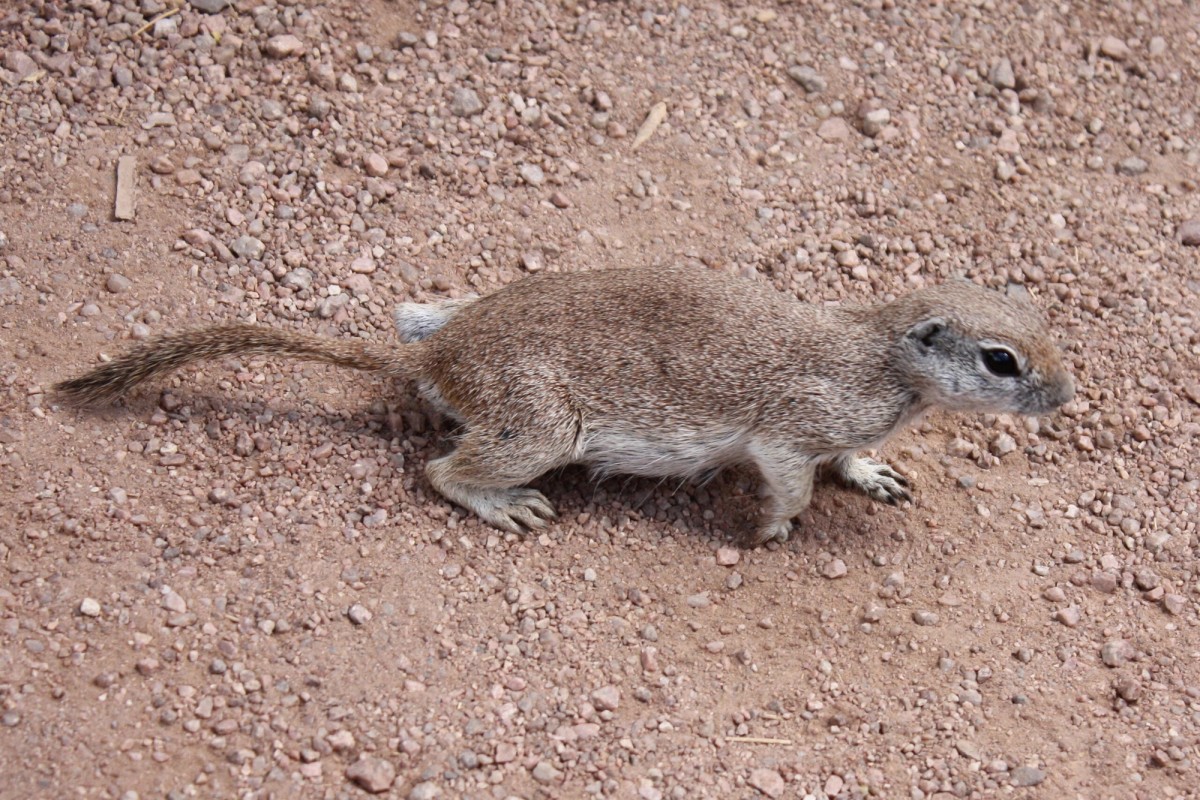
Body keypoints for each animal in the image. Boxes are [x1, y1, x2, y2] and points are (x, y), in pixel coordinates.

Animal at [54, 266, 1075, 546]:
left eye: (1041, 317)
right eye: (1002, 360)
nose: (1066, 396)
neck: (881, 354)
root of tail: (440, 358)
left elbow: (850, 461)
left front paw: (877, 474)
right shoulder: (790, 430)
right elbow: (789, 483)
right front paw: (773, 529)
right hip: (539, 427)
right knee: (440, 468)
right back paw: (504, 503)